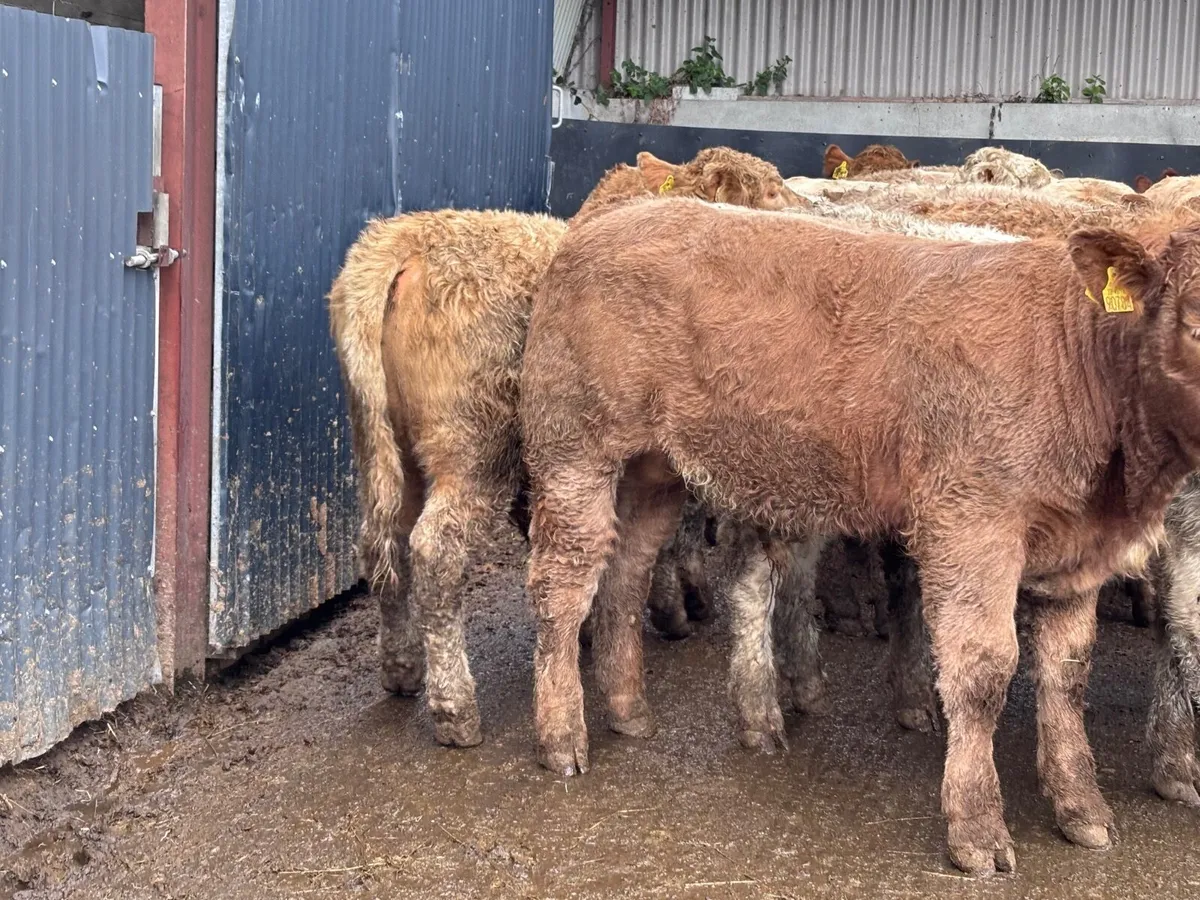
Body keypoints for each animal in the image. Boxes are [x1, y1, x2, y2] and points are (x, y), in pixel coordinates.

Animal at [327, 148, 796, 748]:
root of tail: (404, 239)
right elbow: (664, 540)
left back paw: (402, 668)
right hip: (475, 446)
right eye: (768, 193)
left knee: (382, 543)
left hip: (383, 447)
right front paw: (675, 609)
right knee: (435, 550)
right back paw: (456, 710)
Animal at [517, 196, 1200, 875]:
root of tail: (607, 220)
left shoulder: (1079, 551)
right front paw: (977, 827)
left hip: (654, 470)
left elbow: (1067, 677)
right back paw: (562, 737)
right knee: (563, 586)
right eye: (1193, 320)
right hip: (573, 449)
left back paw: (630, 708)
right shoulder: (970, 523)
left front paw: (1081, 807)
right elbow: (983, 671)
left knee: (628, 571)